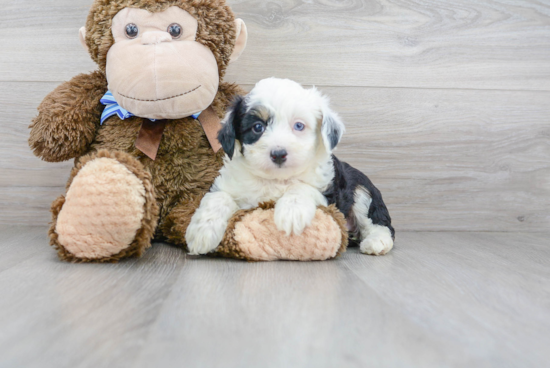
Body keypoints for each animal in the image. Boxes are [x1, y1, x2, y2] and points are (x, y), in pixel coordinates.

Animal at [188, 77, 394, 256]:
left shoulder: (329, 195)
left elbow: (300, 187)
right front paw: (201, 231)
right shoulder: (228, 184)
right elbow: (218, 197)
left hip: (362, 191)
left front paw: (291, 212)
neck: (275, 179)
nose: (278, 154)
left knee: (380, 224)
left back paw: (377, 242)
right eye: (257, 127)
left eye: (299, 126)